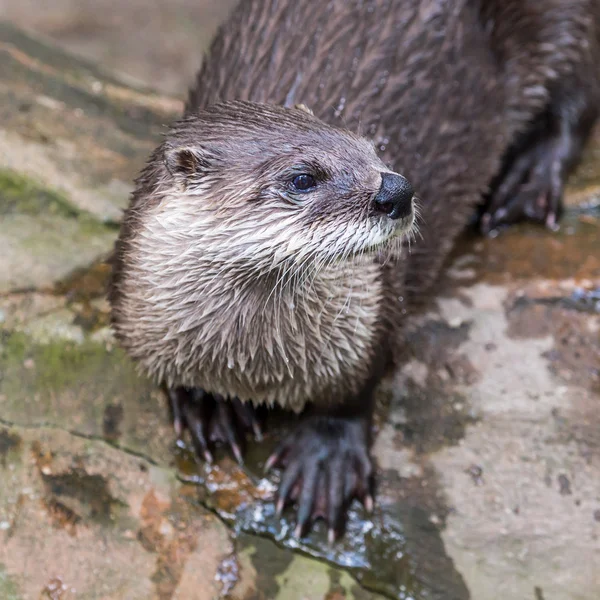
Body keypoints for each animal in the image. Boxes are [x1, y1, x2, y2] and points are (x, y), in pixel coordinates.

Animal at [109, 0, 600, 540]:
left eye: (370, 148)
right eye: (303, 178)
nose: (397, 190)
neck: (250, 362)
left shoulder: (370, 315)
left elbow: (353, 393)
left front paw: (326, 459)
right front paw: (210, 405)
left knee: (578, 90)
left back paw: (530, 178)